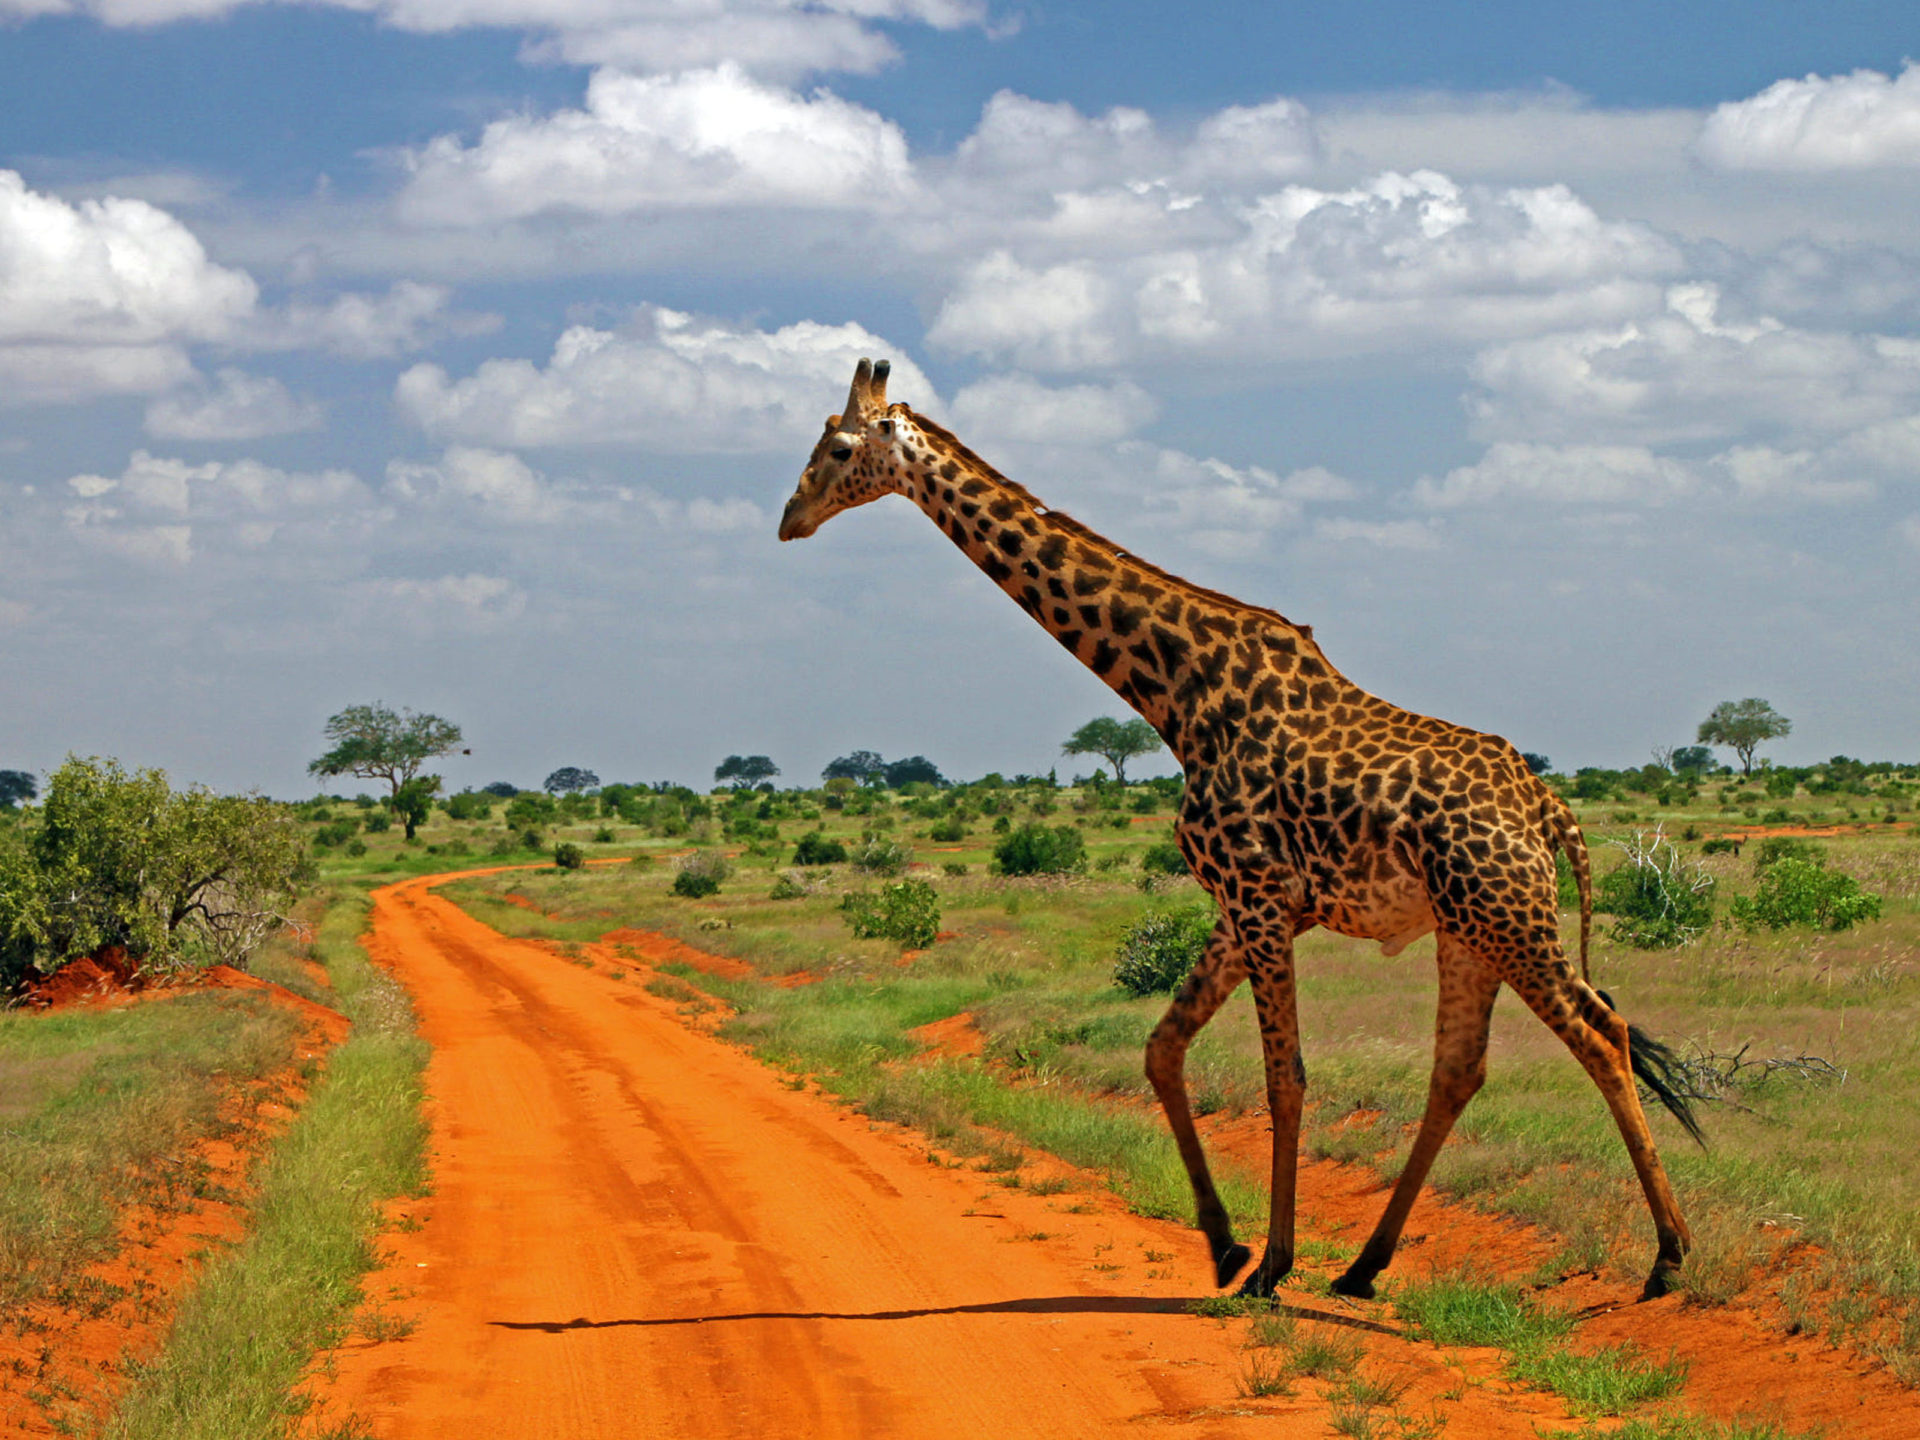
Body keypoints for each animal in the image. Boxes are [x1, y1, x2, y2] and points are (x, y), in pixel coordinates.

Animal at [771, 362, 1704, 1305]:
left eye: (838, 447)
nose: (789, 518)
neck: (1174, 691)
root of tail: (1550, 812)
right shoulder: (1240, 906)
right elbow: (1162, 1049)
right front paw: (1225, 1247)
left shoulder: (1257, 897)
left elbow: (1282, 1077)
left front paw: (1272, 1264)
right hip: (1467, 928)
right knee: (1461, 1068)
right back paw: (1363, 1267)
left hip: (1506, 915)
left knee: (1602, 1034)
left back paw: (1667, 1256)